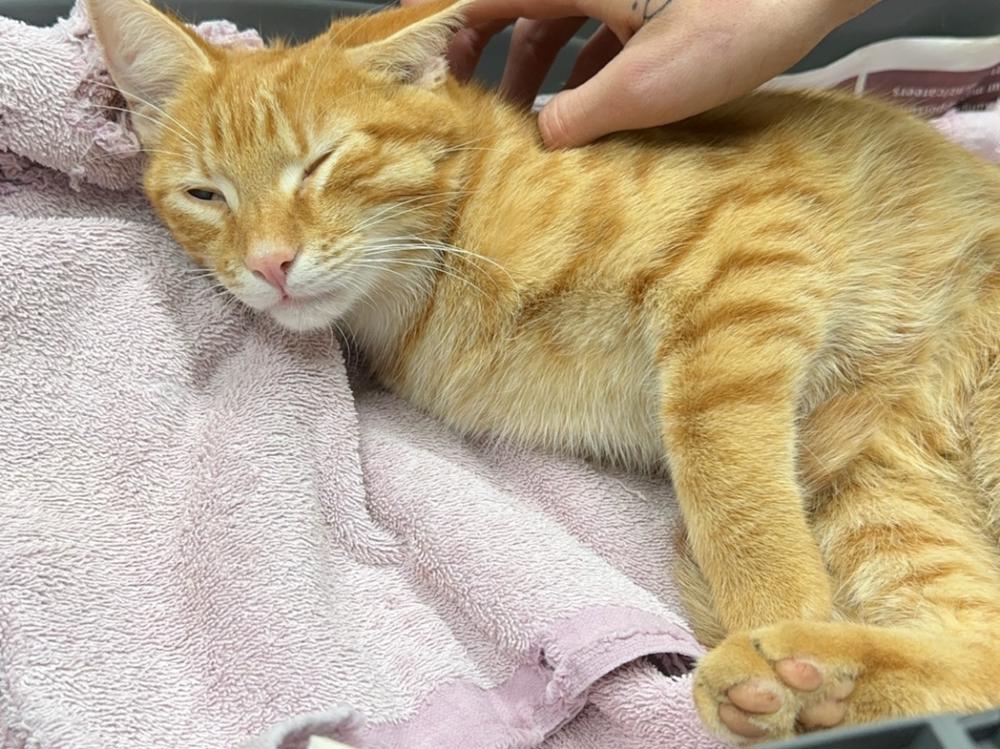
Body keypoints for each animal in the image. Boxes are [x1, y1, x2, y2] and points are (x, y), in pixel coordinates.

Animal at [85, 0, 1000, 742]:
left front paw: (771, 611)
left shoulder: (749, 255)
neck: (438, 263)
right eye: (205, 195)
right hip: (874, 484)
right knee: (981, 646)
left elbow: (730, 481)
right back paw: (823, 686)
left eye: (321, 161)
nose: (270, 263)